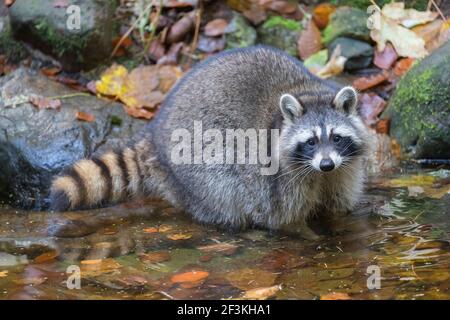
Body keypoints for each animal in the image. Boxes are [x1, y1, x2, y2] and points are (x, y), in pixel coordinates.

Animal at [51, 45, 370, 240]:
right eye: (311, 141)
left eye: (336, 137)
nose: (326, 164)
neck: (309, 91)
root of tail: (154, 133)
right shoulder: (281, 177)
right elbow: (282, 216)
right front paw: (304, 232)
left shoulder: (344, 168)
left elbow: (339, 203)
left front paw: (341, 225)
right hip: (198, 160)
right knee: (224, 189)